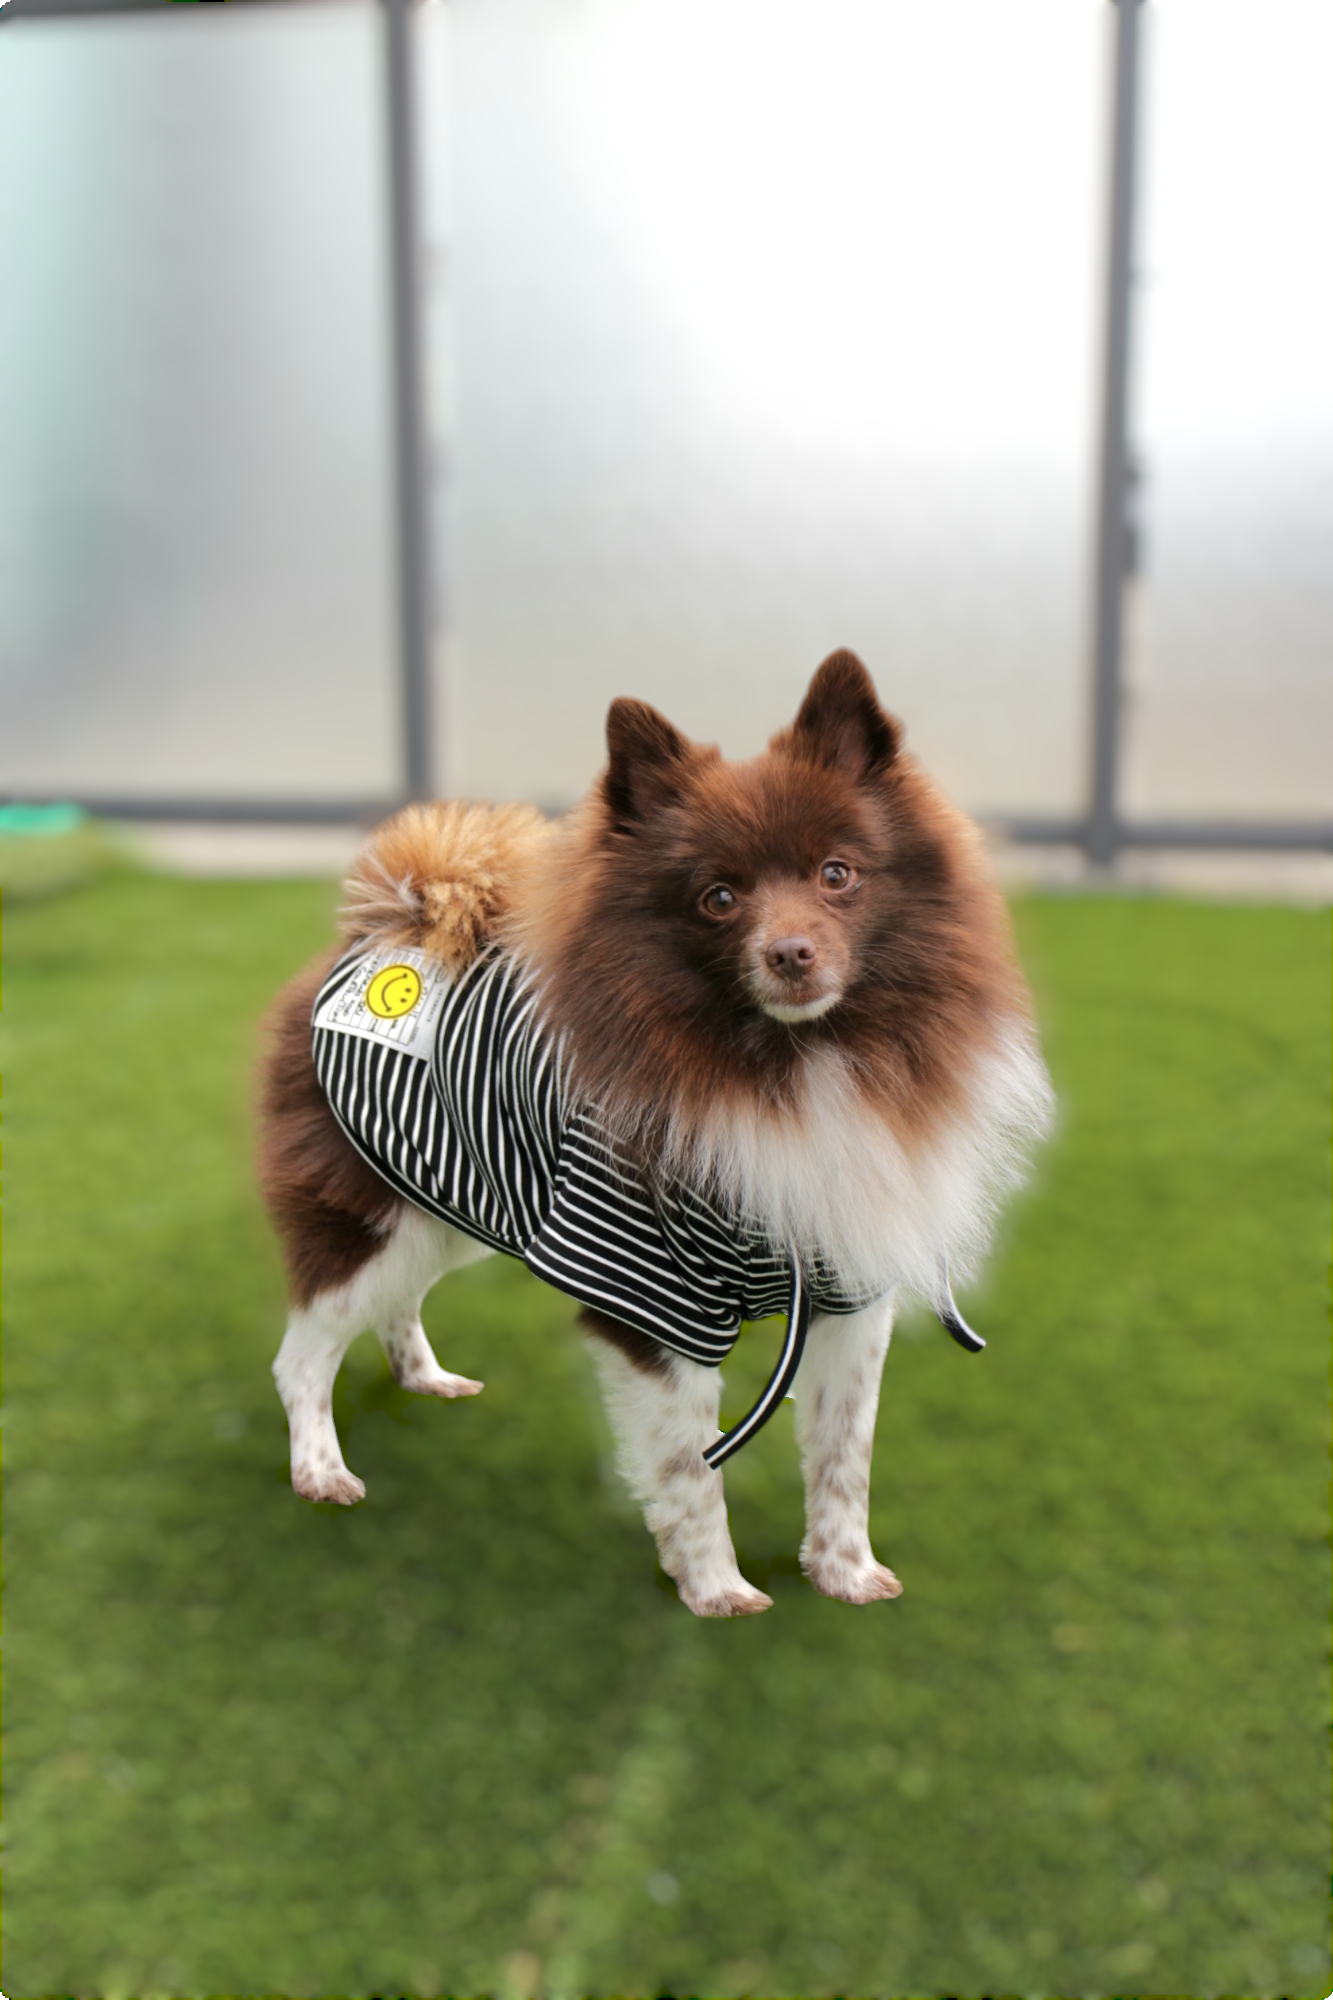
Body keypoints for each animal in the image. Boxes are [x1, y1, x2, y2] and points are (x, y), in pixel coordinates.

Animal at [256, 648, 1048, 1616]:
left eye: (836, 874)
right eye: (717, 898)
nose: (791, 953)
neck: (791, 1064)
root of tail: (384, 931)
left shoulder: (847, 1290)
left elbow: (842, 1455)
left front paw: (844, 1573)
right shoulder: (653, 1294)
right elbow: (687, 1467)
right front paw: (715, 1589)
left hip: (447, 1200)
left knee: (396, 1300)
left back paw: (422, 1376)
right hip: (370, 1215)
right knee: (305, 1352)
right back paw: (318, 1470)